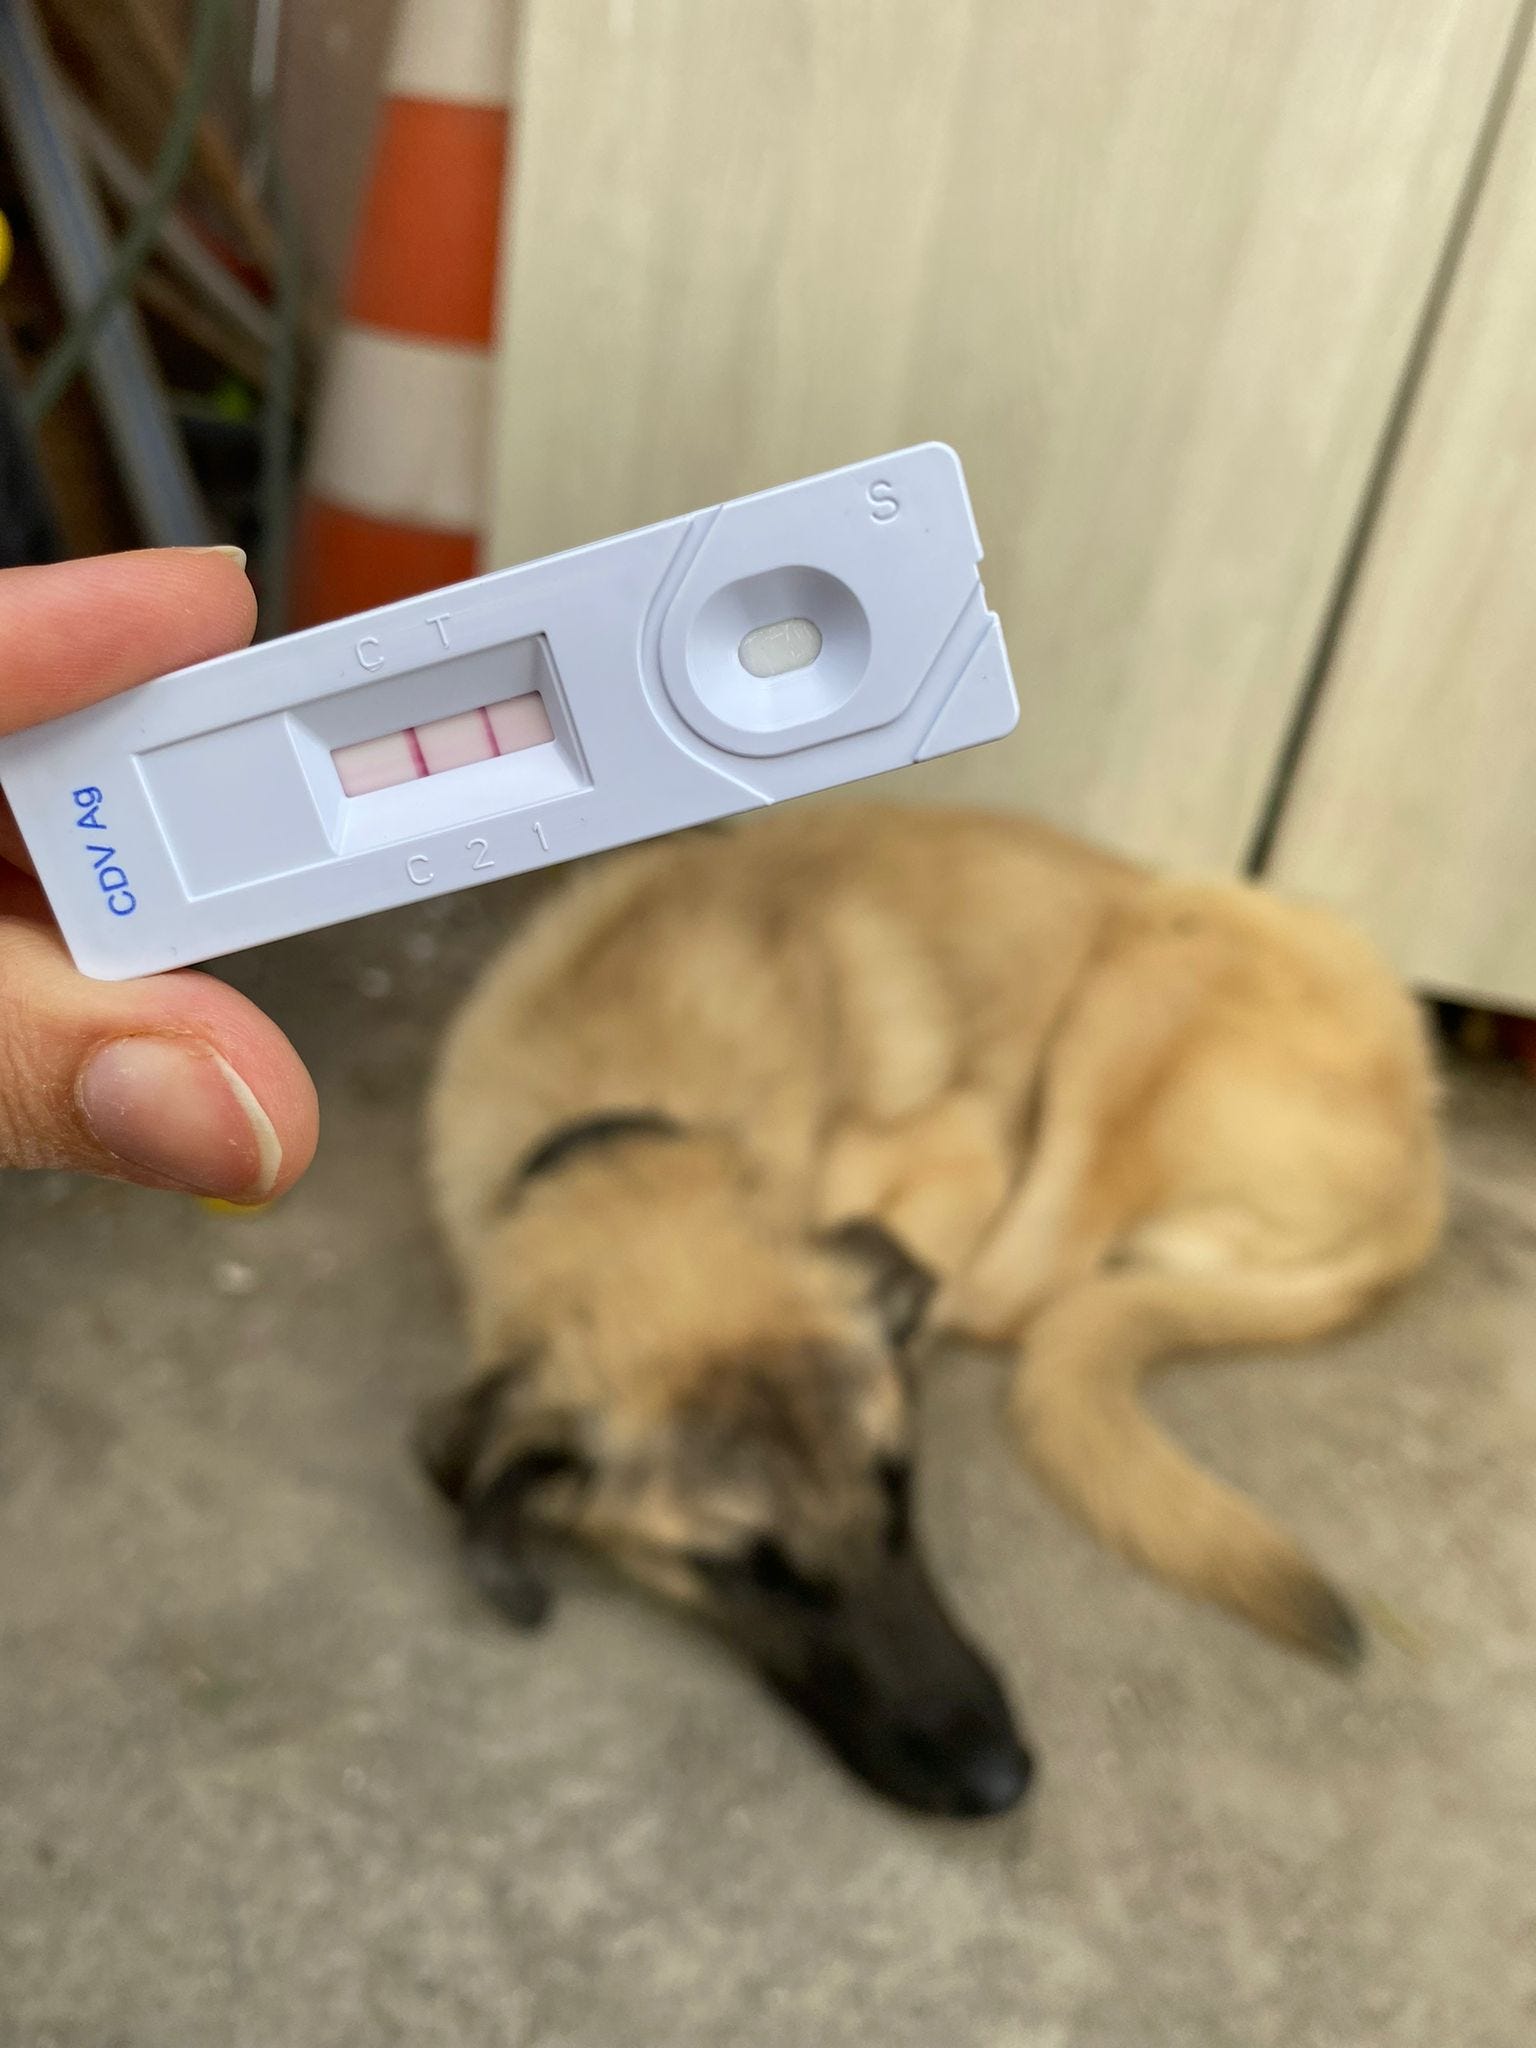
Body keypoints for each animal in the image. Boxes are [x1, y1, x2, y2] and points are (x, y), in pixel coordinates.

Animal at [419, 804, 1442, 1816]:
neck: (622, 1120)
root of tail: (1423, 1182)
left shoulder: (960, 1152)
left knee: (1016, 1292)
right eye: (740, 1568)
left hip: (1153, 965)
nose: (1002, 1779)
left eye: (900, 1481)